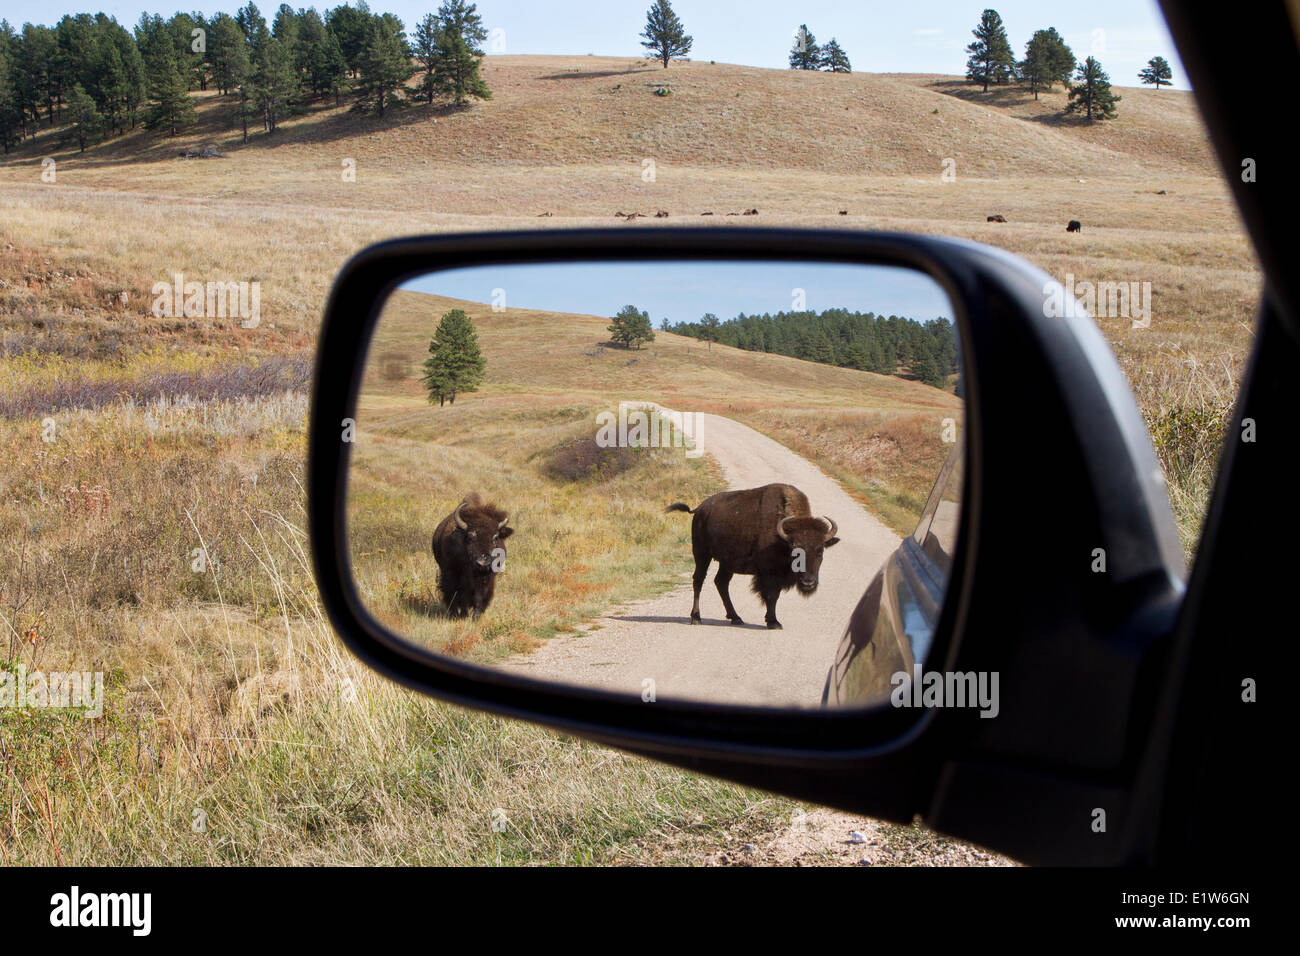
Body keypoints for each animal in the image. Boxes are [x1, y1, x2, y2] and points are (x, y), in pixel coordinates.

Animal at [667, 483, 839, 629]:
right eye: (795, 550)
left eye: (820, 551)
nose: (808, 582)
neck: (782, 539)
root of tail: (699, 509)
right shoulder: (768, 574)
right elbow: (771, 595)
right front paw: (773, 622)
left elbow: (774, 595)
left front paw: (772, 620)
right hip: (702, 554)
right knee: (699, 580)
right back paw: (696, 618)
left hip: (726, 563)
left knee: (721, 582)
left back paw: (736, 618)